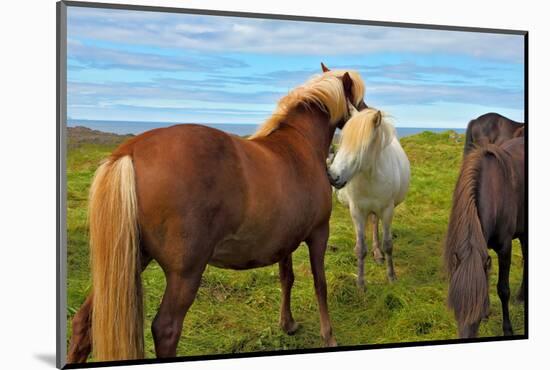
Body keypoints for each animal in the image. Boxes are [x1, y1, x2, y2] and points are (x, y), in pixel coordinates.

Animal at [67, 65, 368, 362]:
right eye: (357, 96)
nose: (367, 110)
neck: (300, 144)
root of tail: (129, 152)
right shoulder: (319, 233)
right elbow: (320, 285)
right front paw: (328, 336)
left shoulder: (286, 241)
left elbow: (287, 278)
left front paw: (288, 324)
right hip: (184, 273)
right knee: (165, 329)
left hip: (132, 259)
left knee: (84, 322)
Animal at [328, 105, 410, 288]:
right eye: (342, 142)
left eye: (361, 147)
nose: (333, 176)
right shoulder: (357, 211)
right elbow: (360, 248)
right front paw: (360, 283)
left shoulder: (387, 210)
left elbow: (388, 244)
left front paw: (391, 276)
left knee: (374, 223)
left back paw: (378, 253)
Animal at [444, 137, 528, 338]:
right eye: (456, 310)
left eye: (478, 313)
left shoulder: (505, 248)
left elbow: (503, 289)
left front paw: (507, 329)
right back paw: (521, 295)